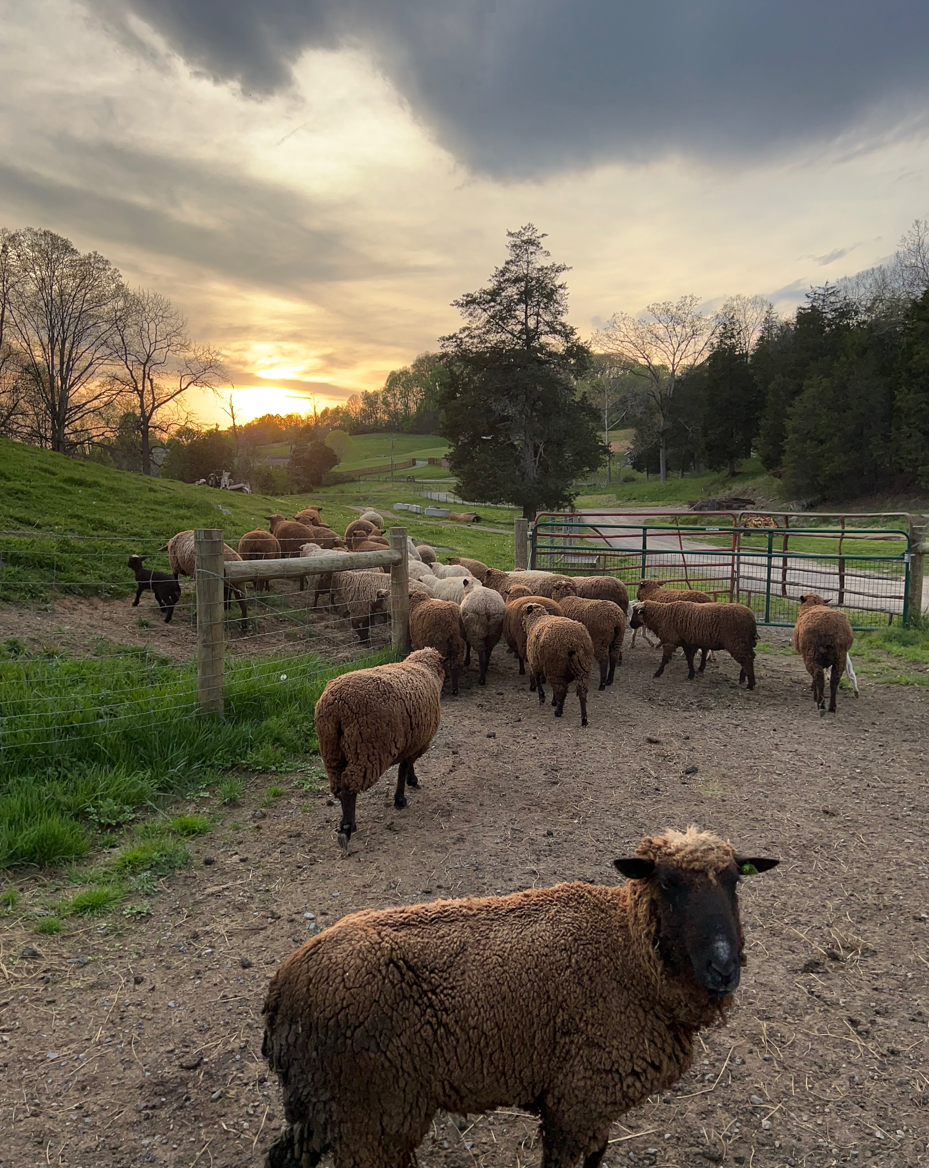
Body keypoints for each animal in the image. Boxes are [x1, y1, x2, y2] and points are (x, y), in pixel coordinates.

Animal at [261, 826, 775, 1168]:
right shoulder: (578, 1096)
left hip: (324, 1103)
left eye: (735, 881)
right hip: (371, 1113)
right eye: (667, 883)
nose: (723, 969)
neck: (626, 953)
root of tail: (281, 989)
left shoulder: (593, 1100)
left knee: (284, 1157)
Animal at [313, 649, 446, 850]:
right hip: (368, 750)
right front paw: (401, 797)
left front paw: (409, 783)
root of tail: (336, 704)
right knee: (348, 787)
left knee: (339, 787)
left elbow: (406, 766)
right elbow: (404, 767)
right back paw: (346, 828)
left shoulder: (411, 740)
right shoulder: (416, 741)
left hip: (331, 750)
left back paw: (348, 821)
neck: (424, 669)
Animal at [626, 598, 757, 686]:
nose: (631, 625)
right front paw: (691, 674)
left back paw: (750, 683)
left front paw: (658, 673)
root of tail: (751, 617)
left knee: (747, 659)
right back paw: (743, 679)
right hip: (744, 641)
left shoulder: (670, 640)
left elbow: (665, 659)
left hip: (736, 641)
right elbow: (689, 658)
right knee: (750, 656)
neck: (662, 615)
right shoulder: (685, 642)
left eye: (636, 613)